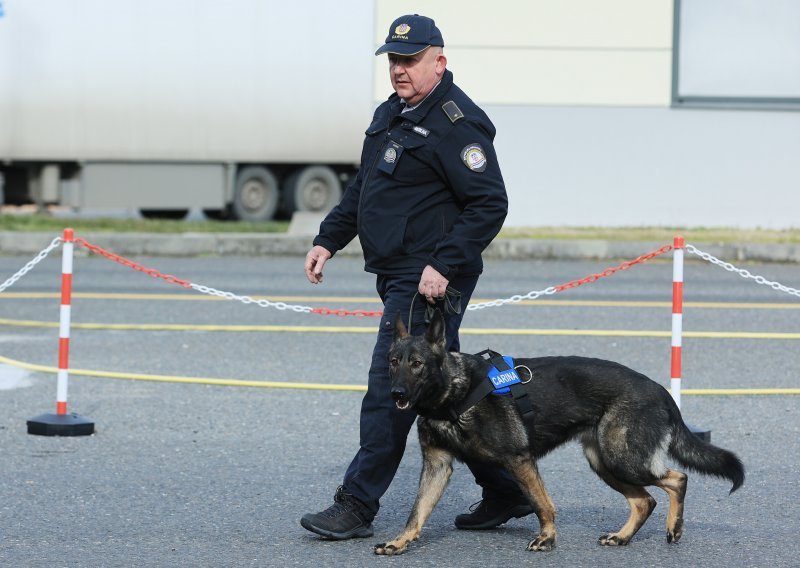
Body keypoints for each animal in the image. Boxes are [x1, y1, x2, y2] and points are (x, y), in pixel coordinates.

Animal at [374, 310, 744, 556]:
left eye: (417, 364)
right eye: (393, 361)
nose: (395, 394)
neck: (455, 394)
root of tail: (660, 390)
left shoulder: (519, 460)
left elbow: (542, 504)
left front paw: (547, 538)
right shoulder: (437, 467)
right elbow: (417, 511)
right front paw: (400, 541)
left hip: (621, 459)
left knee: (677, 478)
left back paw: (673, 527)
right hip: (603, 462)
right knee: (644, 500)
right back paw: (622, 537)